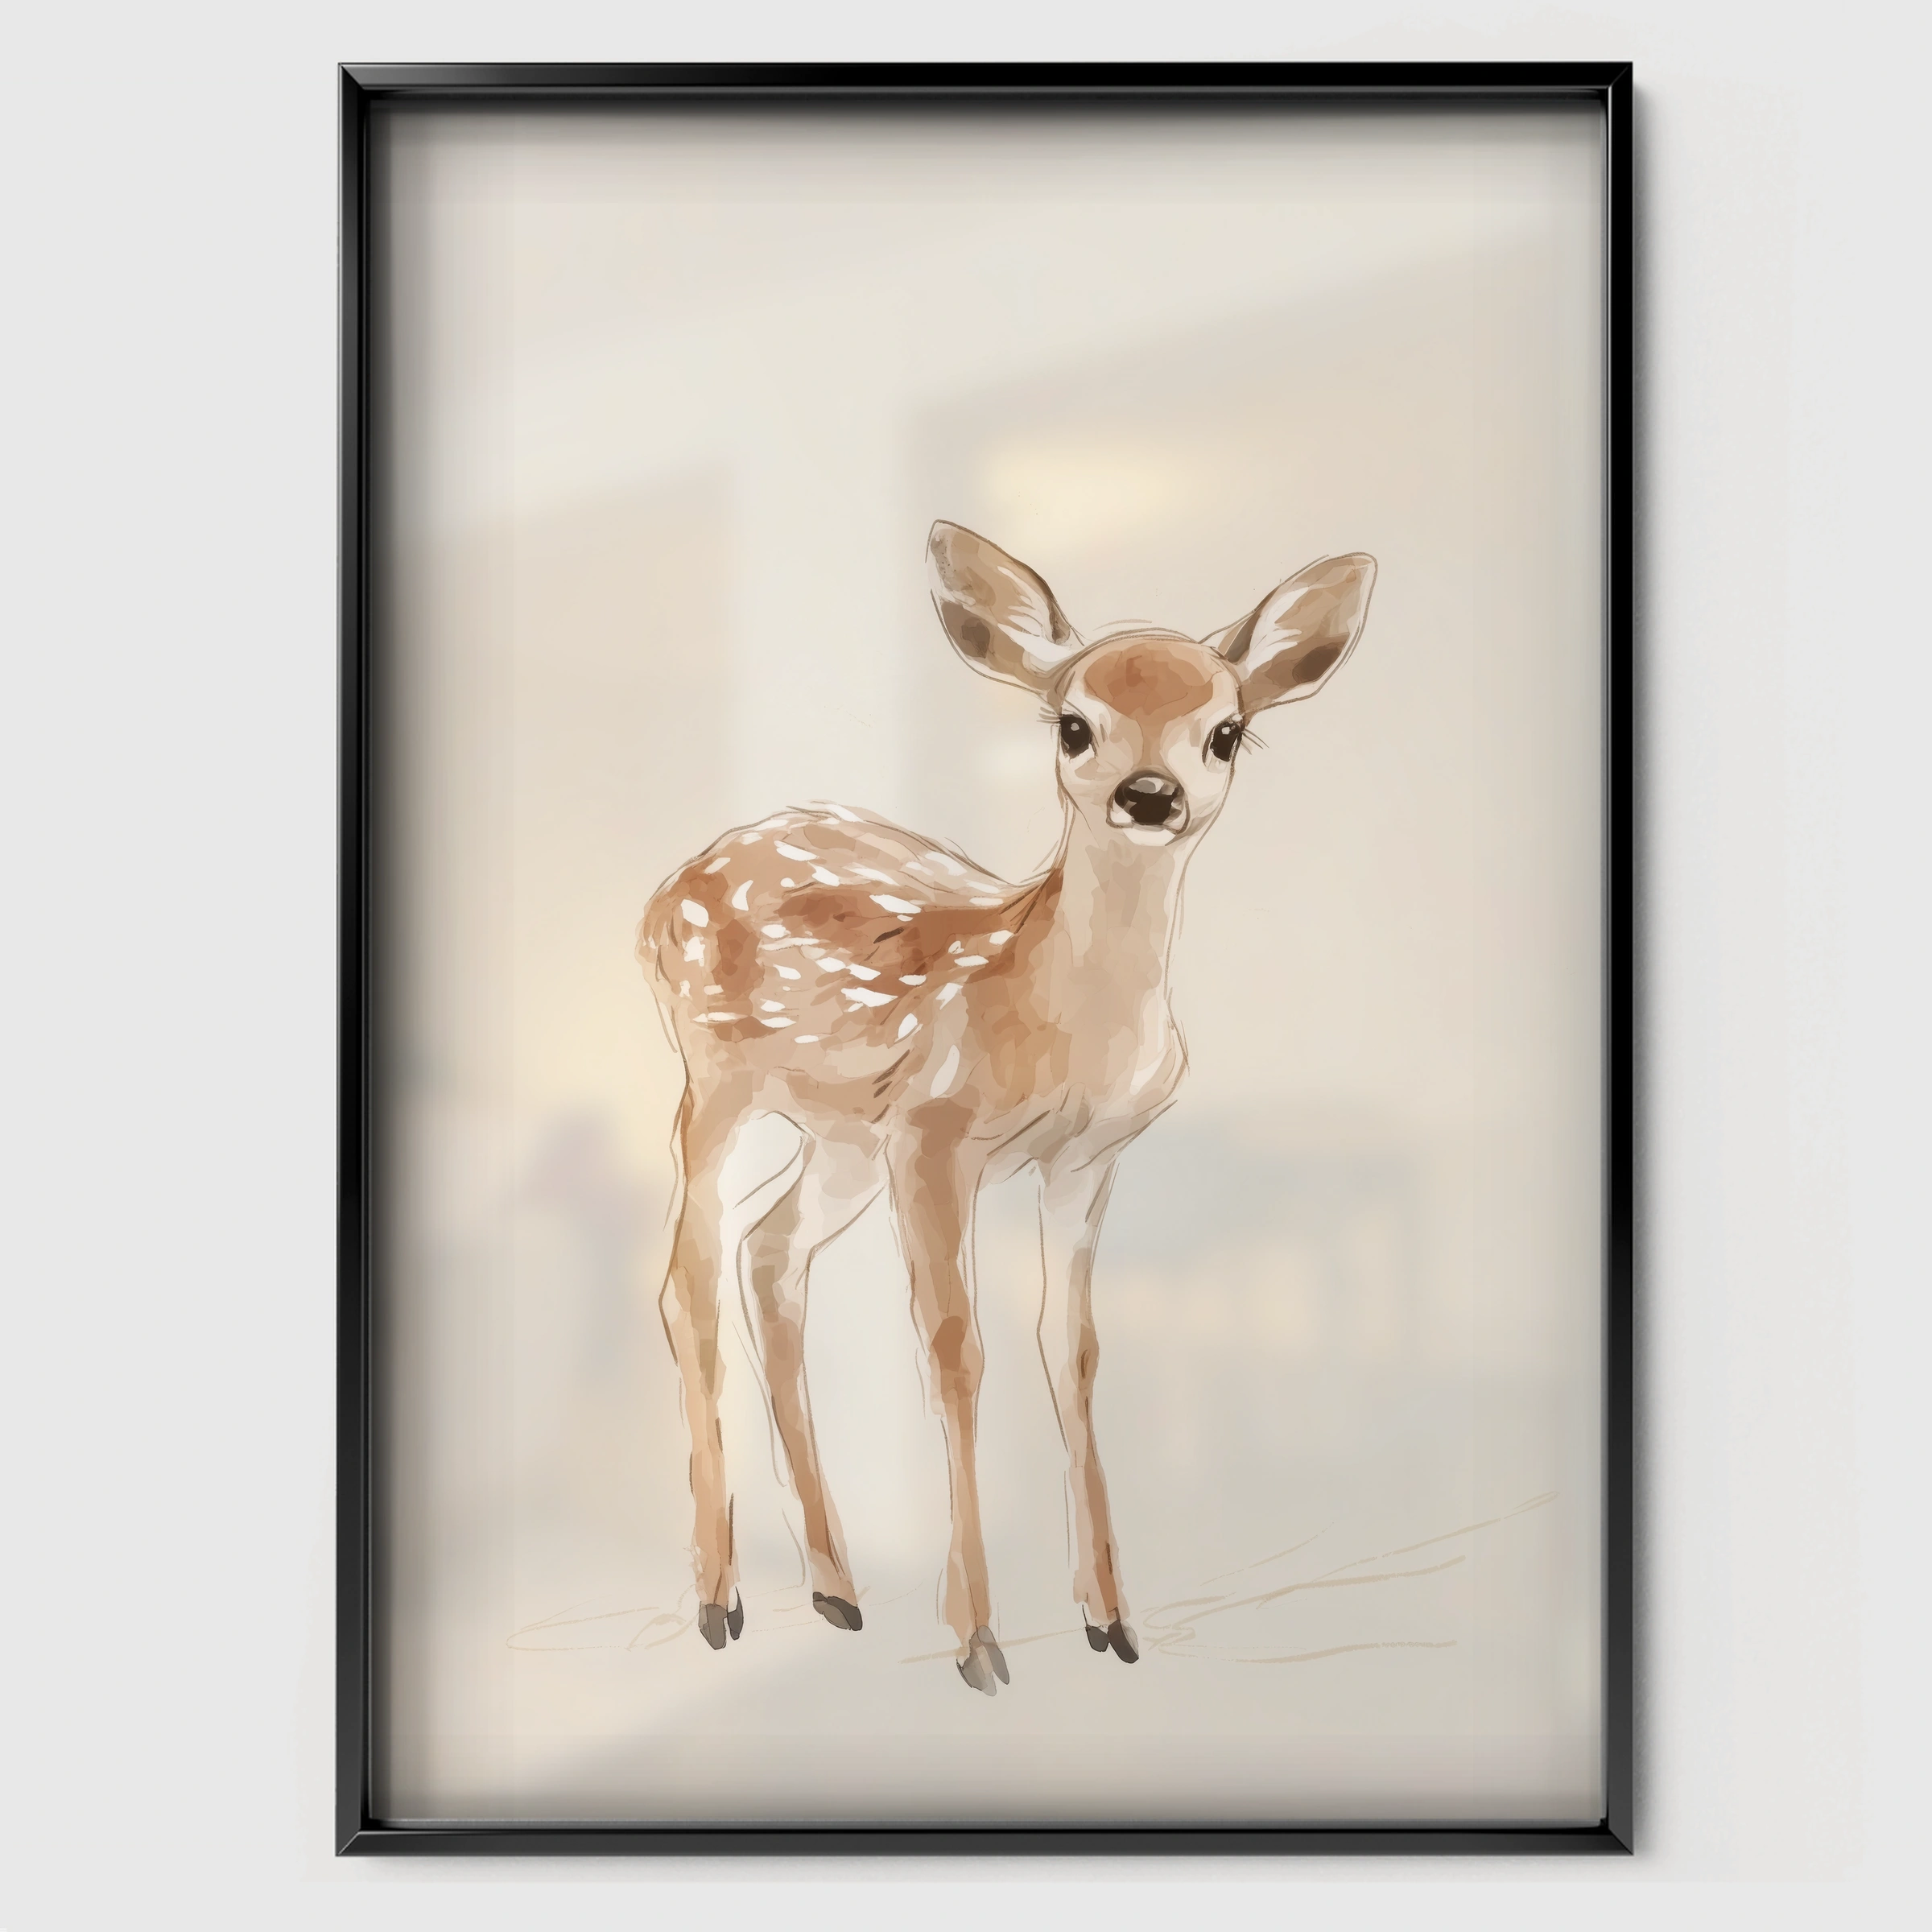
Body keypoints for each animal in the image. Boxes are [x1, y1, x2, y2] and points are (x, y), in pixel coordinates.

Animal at [636, 523, 1375, 1694]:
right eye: (1075, 725)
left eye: (1225, 732)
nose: (1150, 794)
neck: (1051, 1013)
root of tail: (666, 891)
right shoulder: (937, 1137)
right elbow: (954, 1349)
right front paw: (979, 1642)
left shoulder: (1085, 1159)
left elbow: (1072, 1352)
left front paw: (1111, 1621)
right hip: (715, 1078)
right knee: (685, 1278)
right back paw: (721, 1599)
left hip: (841, 1135)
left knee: (770, 1255)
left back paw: (837, 1588)